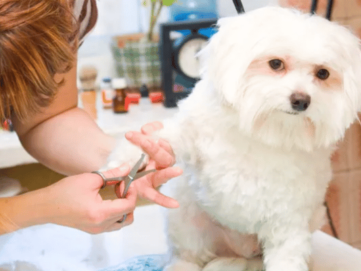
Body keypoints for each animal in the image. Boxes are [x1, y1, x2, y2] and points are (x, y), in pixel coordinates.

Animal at [107, 6, 360, 271]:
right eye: (276, 63)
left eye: (322, 73)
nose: (301, 100)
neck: (265, 132)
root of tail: (240, 253)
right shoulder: (195, 131)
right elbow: (165, 138)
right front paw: (130, 158)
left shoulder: (288, 218)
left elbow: (287, 254)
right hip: (186, 220)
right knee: (187, 255)